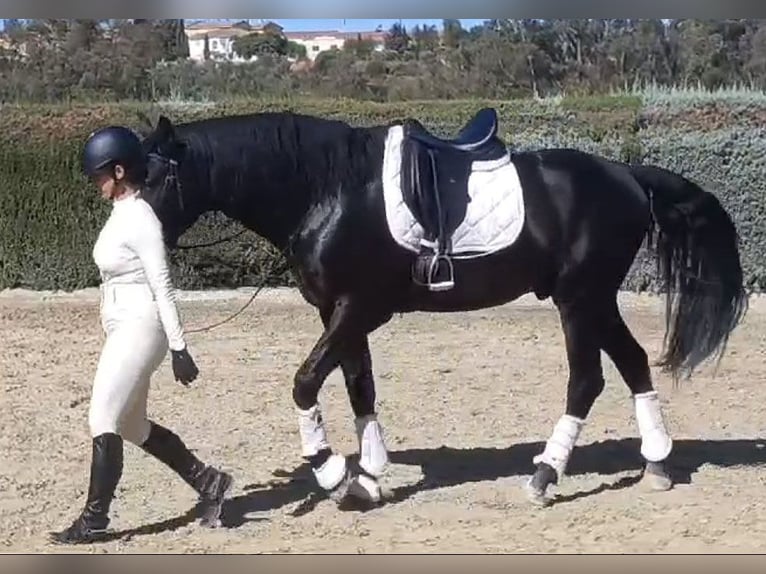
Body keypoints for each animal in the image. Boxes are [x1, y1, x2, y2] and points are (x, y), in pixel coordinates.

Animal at [136, 107, 747, 508]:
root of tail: (627, 175)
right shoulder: (336, 311)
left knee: (587, 380)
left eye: (151, 178)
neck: (327, 188)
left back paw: (545, 476)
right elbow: (360, 386)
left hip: (579, 299)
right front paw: (370, 477)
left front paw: (335, 476)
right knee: (633, 362)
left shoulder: (359, 308)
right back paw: (656, 463)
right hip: (593, 300)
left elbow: (306, 382)